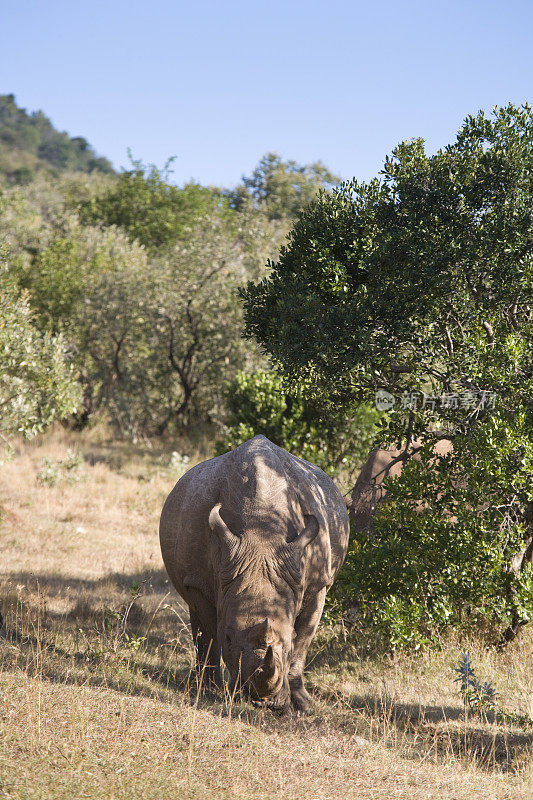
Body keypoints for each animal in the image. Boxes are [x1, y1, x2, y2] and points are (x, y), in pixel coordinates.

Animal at [158, 434, 350, 716]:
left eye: (288, 642)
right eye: (229, 638)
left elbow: (303, 643)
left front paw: (303, 704)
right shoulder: (199, 582)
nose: (262, 701)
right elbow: (211, 631)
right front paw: (216, 692)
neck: (261, 534)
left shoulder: (318, 583)